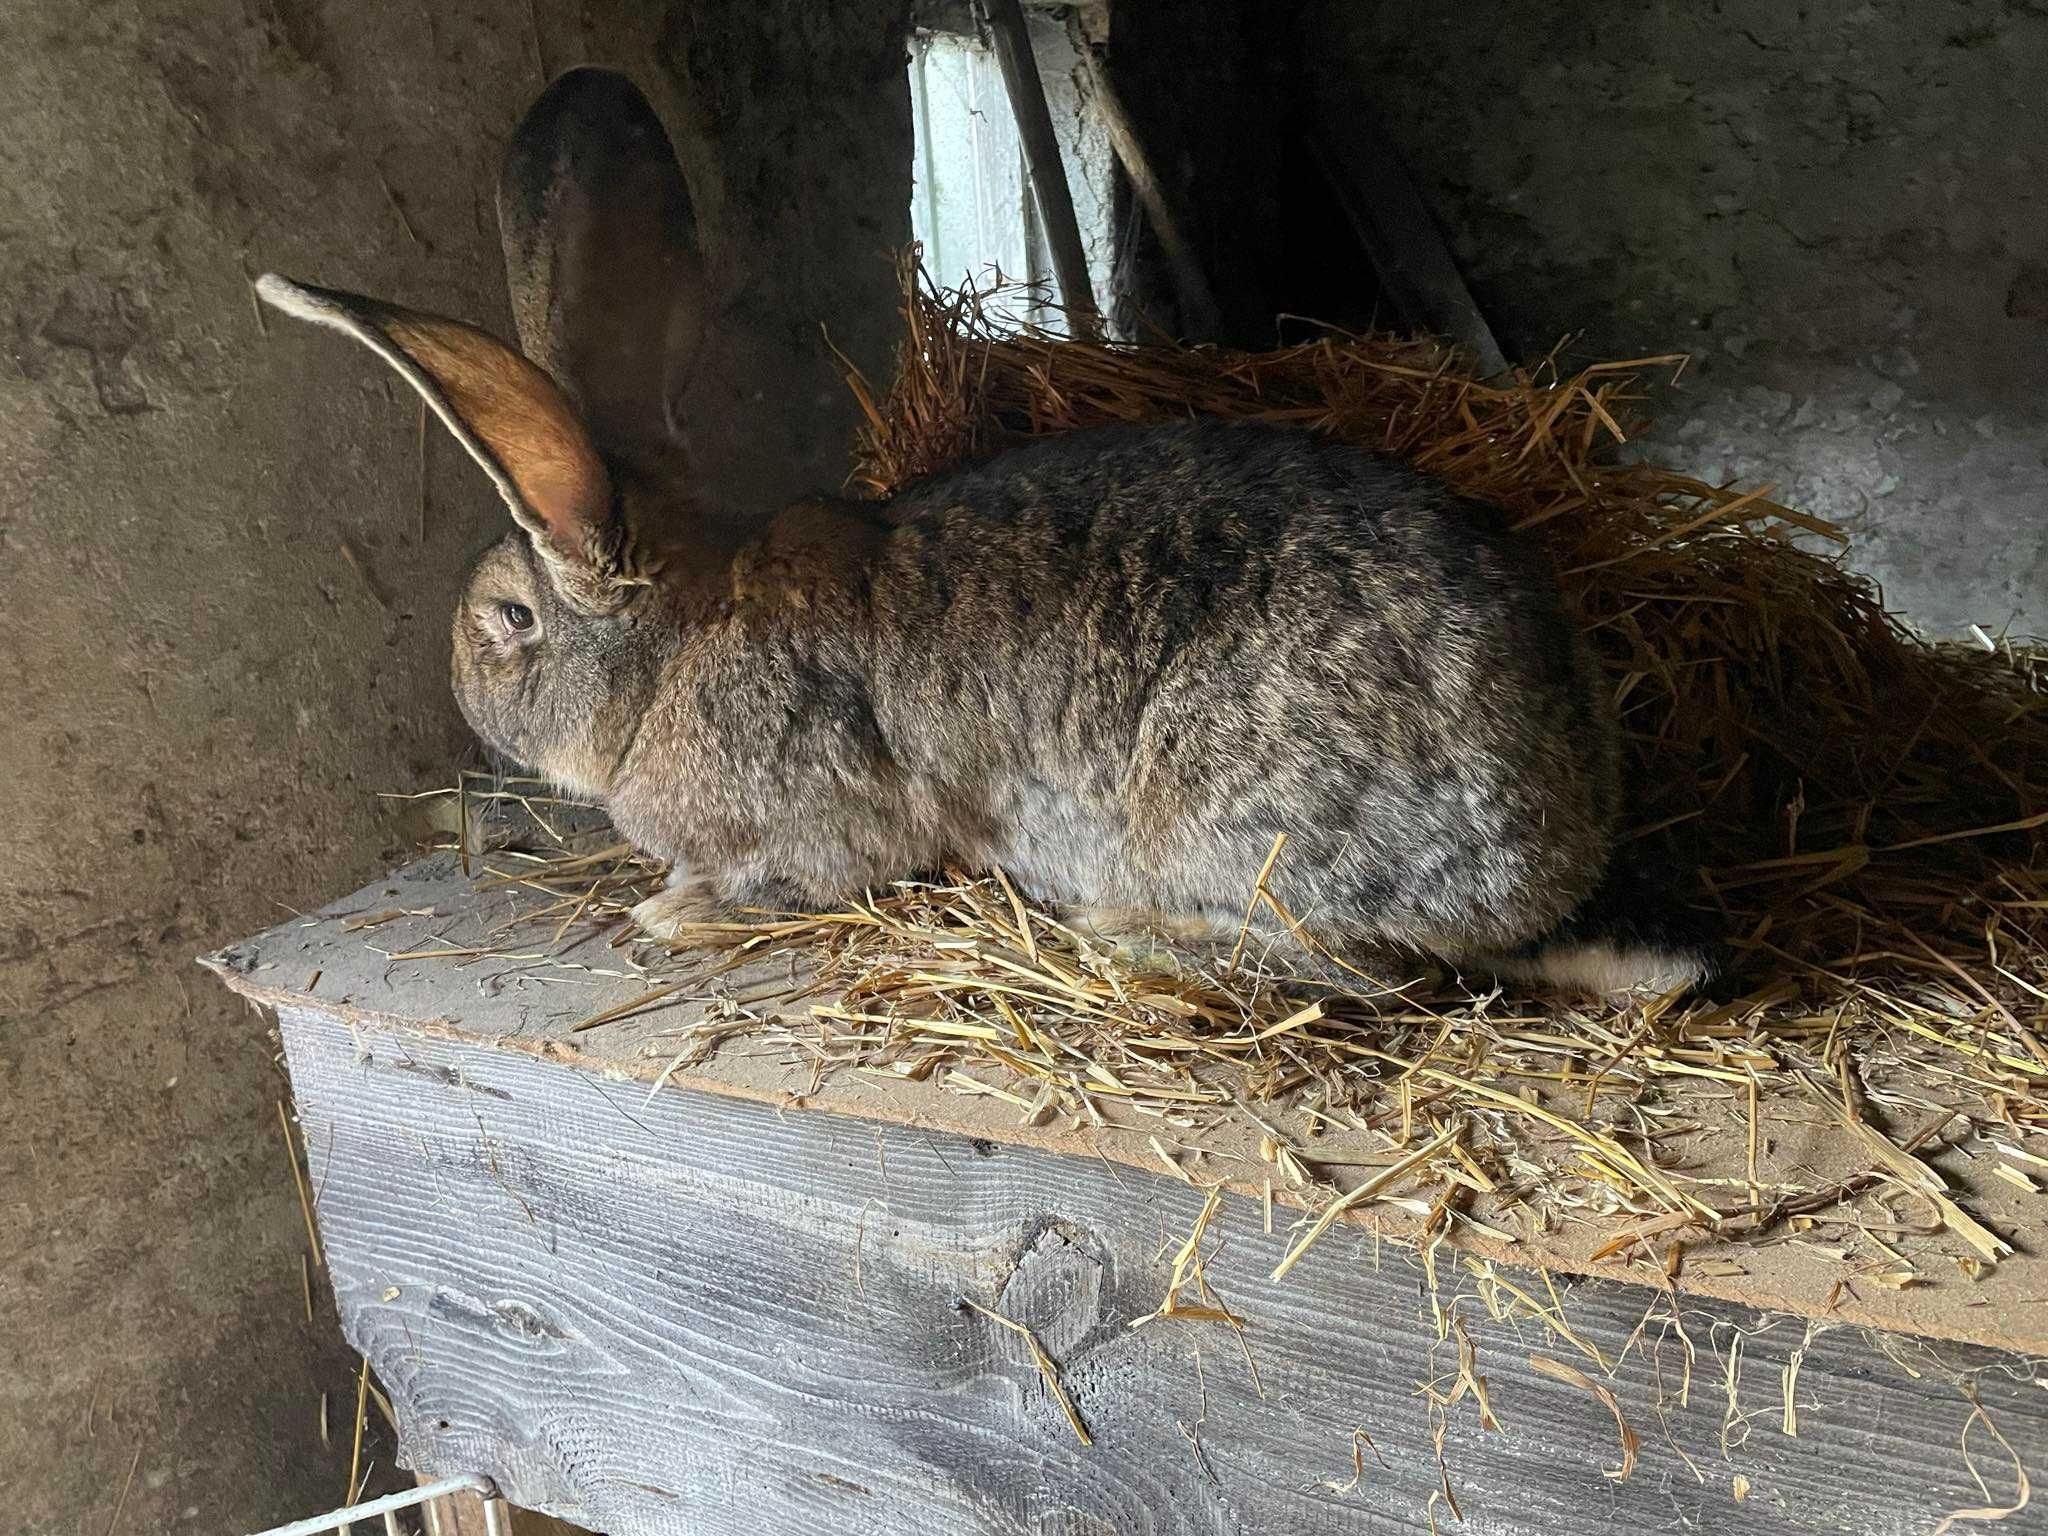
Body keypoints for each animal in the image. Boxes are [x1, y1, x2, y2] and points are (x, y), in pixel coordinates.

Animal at [264, 69, 1720, 999]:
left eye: (507, 623)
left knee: (1363, 976)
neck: (677, 642)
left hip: (1236, 819)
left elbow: (785, 873)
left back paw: (1130, 939)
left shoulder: (816, 819)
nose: (462, 710)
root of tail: (1550, 859)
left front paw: (670, 911)